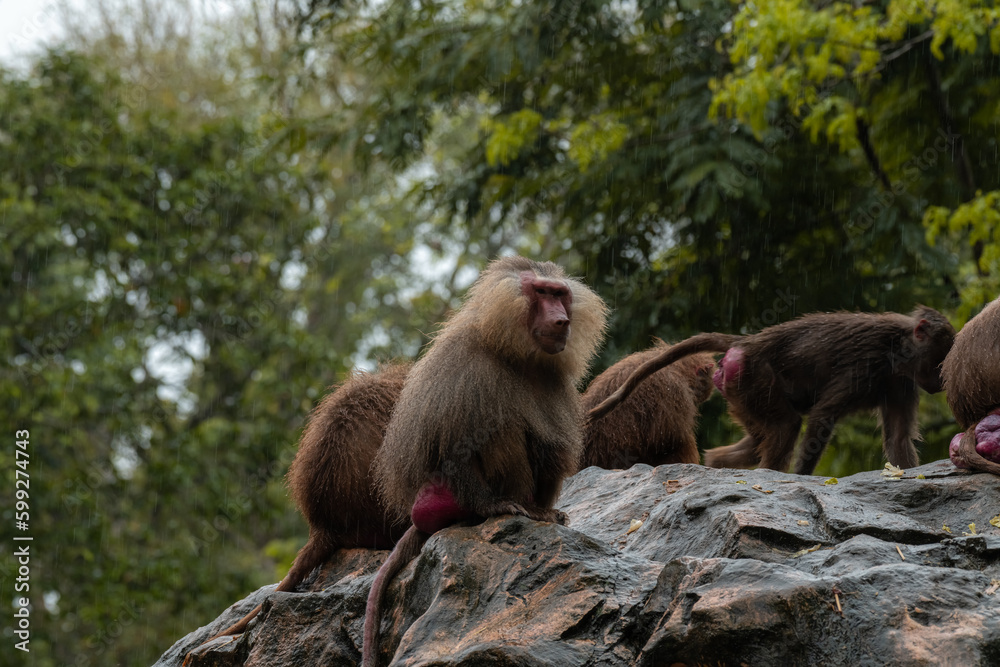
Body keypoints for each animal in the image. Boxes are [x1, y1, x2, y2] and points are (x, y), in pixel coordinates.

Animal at [361, 256, 608, 667]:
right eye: (541, 293)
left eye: (560, 294)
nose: (561, 320)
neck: (516, 353)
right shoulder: (469, 367)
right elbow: (454, 446)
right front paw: (499, 507)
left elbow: (554, 446)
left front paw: (550, 512)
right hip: (449, 495)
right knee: (499, 429)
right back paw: (510, 507)